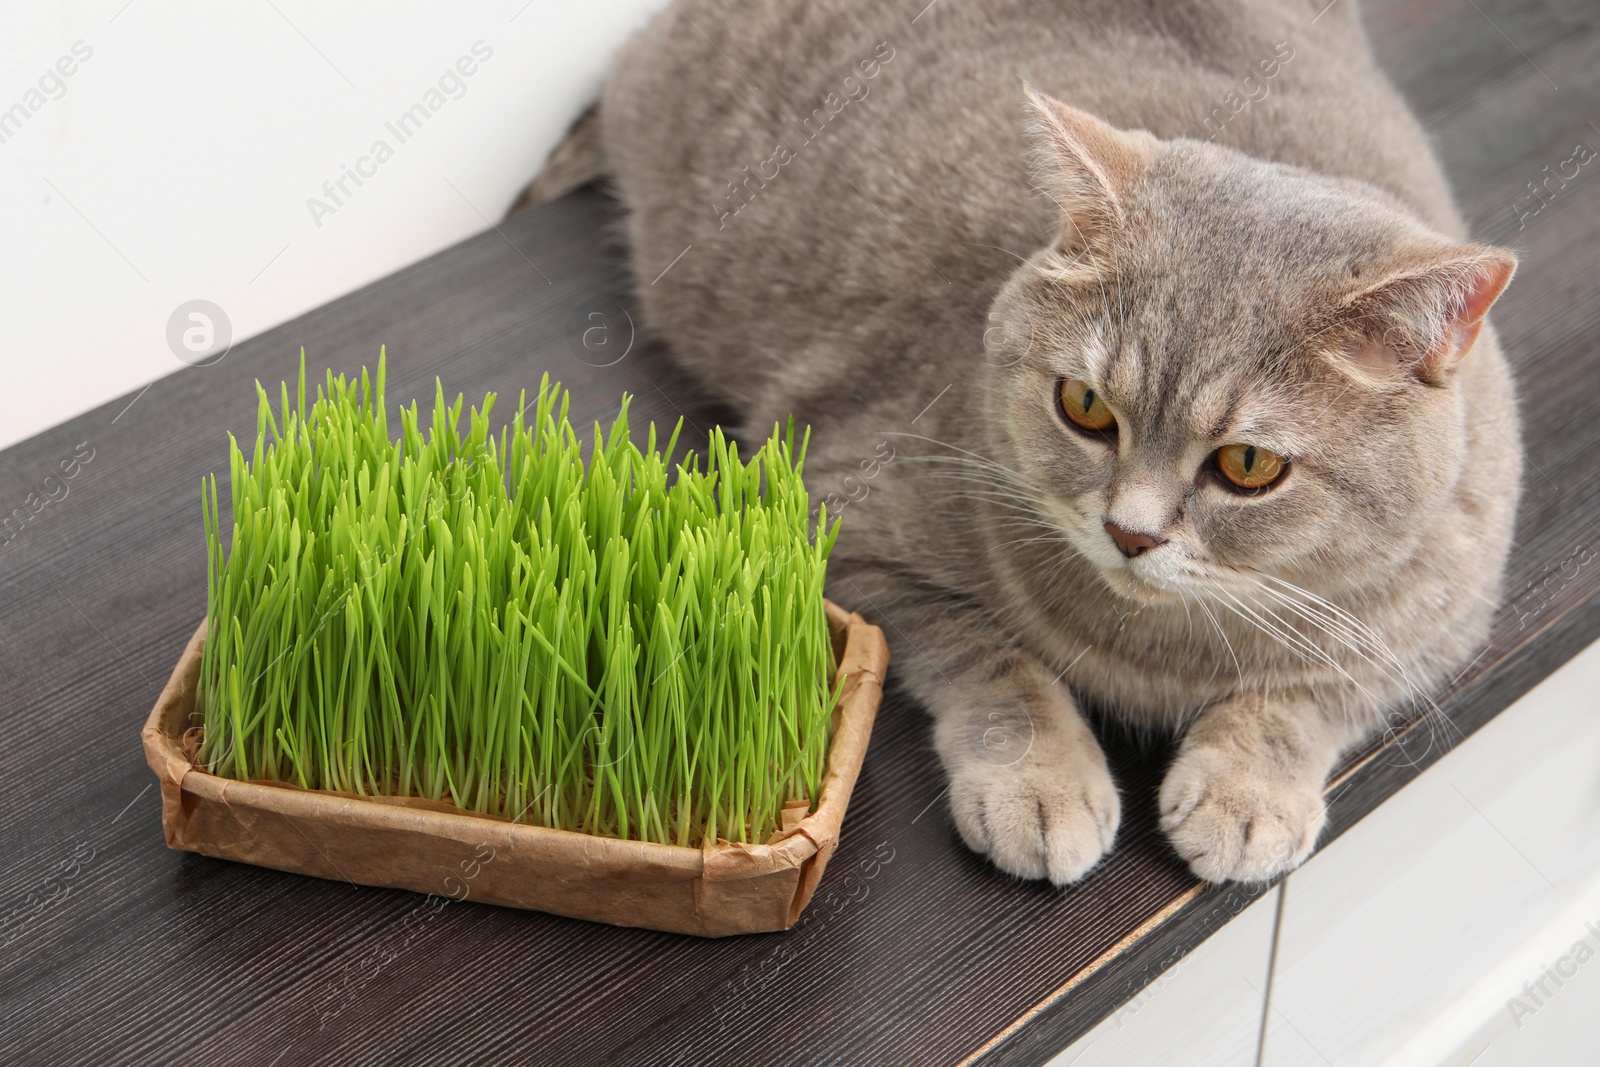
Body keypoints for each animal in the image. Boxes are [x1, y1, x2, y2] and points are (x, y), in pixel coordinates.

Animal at [518, 0, 1516, 883]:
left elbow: (1310, 696)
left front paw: (1248, 792)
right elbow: (991, 655)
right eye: (1085, 406)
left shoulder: (1440, 622)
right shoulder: (843, 518)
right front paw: (1042, 785)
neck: (1158, 654)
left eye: (1248, 465)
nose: (1130, 533)